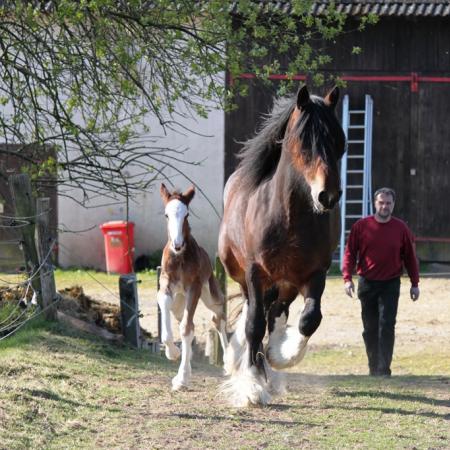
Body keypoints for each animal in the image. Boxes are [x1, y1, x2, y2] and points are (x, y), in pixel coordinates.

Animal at [158, 185, 229, 392]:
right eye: (166, 215)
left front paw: (182, 378)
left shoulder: (194, 288)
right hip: (179, 303)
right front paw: (172, 352)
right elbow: (170, 317)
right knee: (180, 316)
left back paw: (228, 361)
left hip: (211, 294)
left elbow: (187, 328)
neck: (179, 258)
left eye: (186, 214)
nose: (177, 244)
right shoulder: (166, 283)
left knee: (218, 317)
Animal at [220, 86, 346, 406]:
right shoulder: (255, 273)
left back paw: (271, 364)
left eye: (339, 141)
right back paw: (240, 360)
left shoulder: (315, 274)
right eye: (304, 141)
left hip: (286, 283)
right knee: (254, 314)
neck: (290, 220)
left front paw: (279, 356)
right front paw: (252, 385)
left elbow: (310, 320)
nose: (328, 196)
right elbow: (253, 324)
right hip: (244, 276)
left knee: (276, 313)